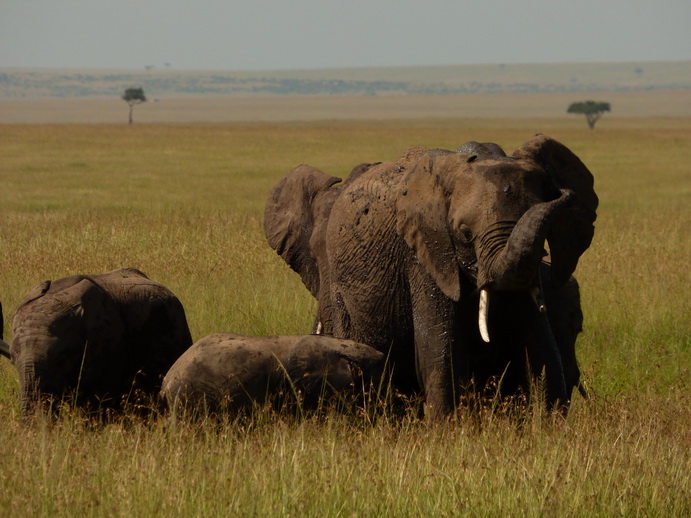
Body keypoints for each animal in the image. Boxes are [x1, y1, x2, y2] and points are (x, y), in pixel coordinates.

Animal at [265, 135, 597, 419]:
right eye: (465, 233)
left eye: (548, 229)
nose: (563, 193)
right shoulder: (425, 251)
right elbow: (439, 352)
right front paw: (447, 434)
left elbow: (544, 349)